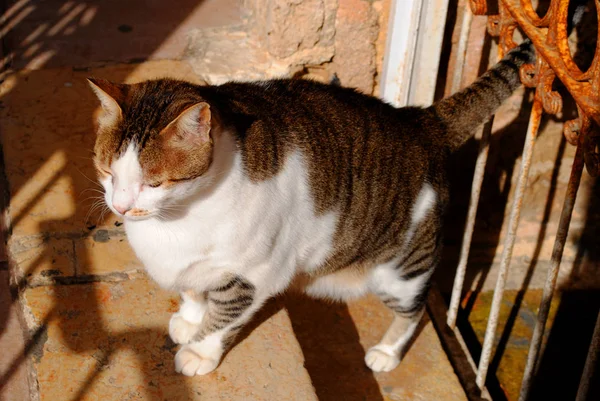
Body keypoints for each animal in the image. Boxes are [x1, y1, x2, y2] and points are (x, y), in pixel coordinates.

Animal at [89, 40, 536, 376]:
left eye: (154, 183)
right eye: (108, 171)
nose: (121, 207)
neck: (176, 219)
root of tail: (423, 121)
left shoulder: (254, 274)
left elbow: (224, 317)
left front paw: (200, 351)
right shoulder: (190, 264)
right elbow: (192, 289)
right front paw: (190, 317)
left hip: (401, 271)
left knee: (415, 309)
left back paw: (386, 353)